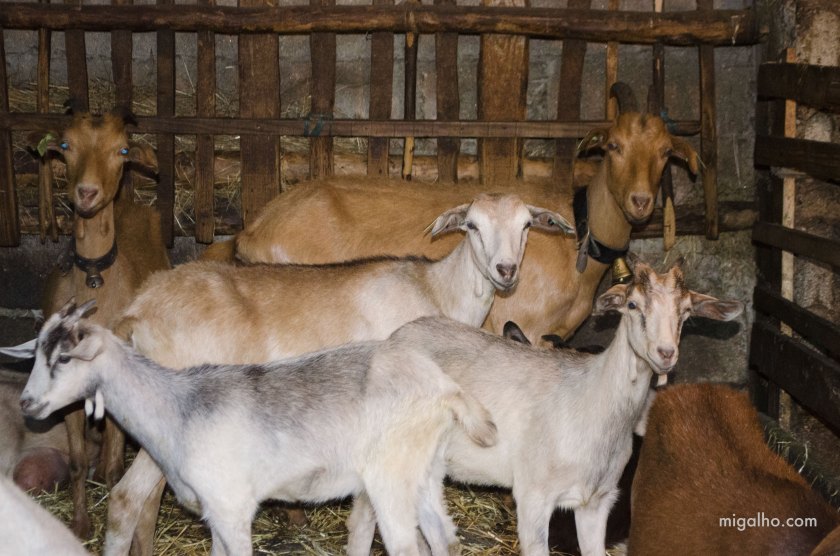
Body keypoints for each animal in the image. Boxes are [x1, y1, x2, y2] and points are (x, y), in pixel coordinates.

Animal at [21, 300, 497, 556]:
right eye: (38, 353)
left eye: (64, 358)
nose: (27, 403)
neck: (178, 408)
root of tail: (446, 389)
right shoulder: (214, 513)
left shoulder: (232, 508)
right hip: (425, 470)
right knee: (444, 538)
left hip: (390, 476)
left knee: (405, 545)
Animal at [37, 109, 171, 538]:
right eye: (65, 145)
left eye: (122, 149)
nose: (87, 193)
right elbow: (77, 461)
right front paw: (80, 525)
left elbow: (115, 466)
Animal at [106, 192, 569, 556]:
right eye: (472, 225)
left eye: (527, 224)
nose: (506, 271)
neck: (435, 290)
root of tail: (135, 313)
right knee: (127, 499)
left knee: (142, 502)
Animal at [221, 83, 699, 342]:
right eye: (613, 146)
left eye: (664, 153)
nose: (640, 201)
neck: (578, 237)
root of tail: (253, 229)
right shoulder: (517, 325)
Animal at [346, 258, 743, 556]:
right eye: (632, 305)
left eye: (686, 312)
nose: (665, 353)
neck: (594, 400)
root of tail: (394, 340)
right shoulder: (533, 496)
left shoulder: (598, 501)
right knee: (364, 518)